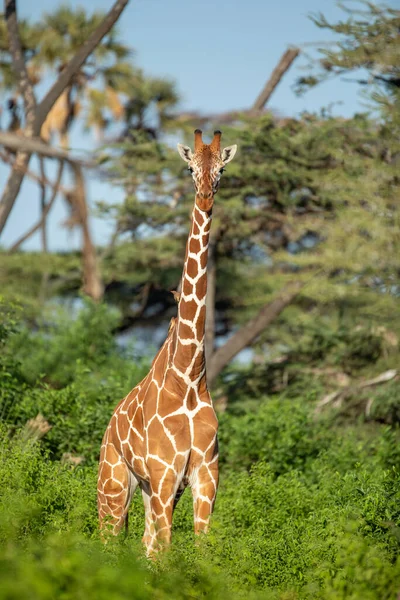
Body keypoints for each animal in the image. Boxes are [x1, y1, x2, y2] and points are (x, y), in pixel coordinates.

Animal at [98, 129, 238, 556]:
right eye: (190, 168)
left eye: (221, 169)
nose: (205, 196)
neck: (189, 377)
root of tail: (109, 426)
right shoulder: (166, 474)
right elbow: (167, 553)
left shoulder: (205, 476)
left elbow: (197, 550)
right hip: (113, 484)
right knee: (109, 540)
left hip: (146, 489)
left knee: (145, 544)